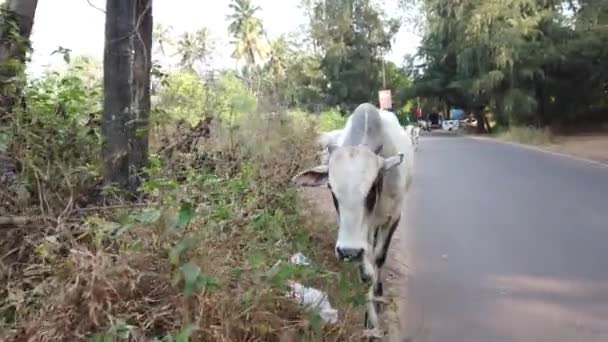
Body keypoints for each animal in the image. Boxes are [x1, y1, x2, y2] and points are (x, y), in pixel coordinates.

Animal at [290, 103, 414, 336]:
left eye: (373, 186)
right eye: (330, 187)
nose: (348, 252)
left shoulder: (394, 217)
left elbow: (379, 259)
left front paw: (376, 302)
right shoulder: (354, 236)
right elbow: (365, 273)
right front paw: (370, 323)